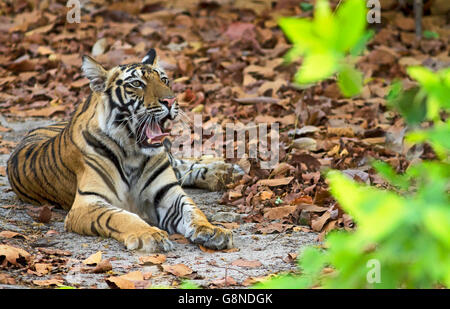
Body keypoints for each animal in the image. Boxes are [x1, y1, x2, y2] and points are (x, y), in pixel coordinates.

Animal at [7, 47, 241, 250]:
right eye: (137, 83)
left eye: (164, 80)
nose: (170, 100)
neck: (133, 154)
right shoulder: (88, 203)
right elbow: (121, 217)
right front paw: (150, 235)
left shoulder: (168, 194)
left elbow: (193, 210)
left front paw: (212, 230)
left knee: (179, 163)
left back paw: (225, 171)